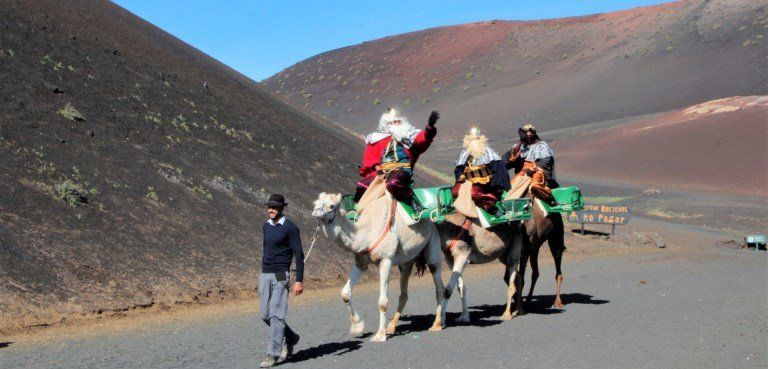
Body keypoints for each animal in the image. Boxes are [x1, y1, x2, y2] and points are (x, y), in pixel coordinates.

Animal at [310, 191, 444, 340]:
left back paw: (437, 325)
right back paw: (391, 327)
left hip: (433, 238)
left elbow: (382, 302)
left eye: (332, 205)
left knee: (438, 282)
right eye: (316, 202)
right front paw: (357, 326)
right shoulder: (360, 262)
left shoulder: (386, 260)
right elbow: (345, 293)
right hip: (407, 260)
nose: (315, 211)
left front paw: (379, 335)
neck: (366, 233)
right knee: (404, 292)